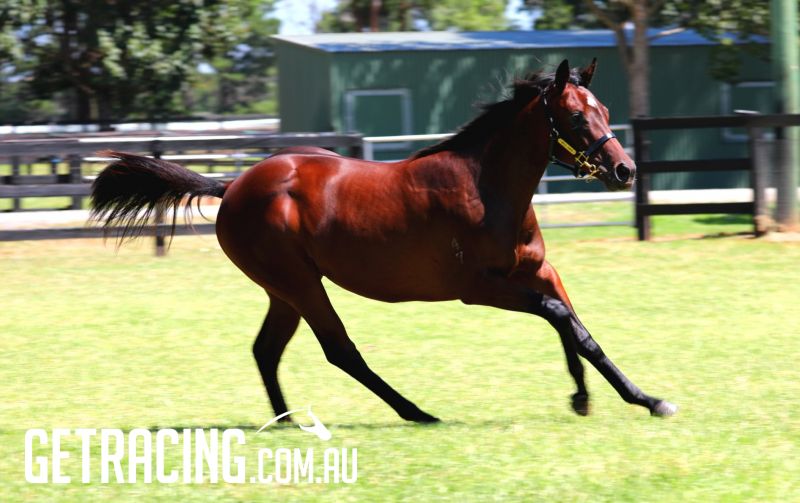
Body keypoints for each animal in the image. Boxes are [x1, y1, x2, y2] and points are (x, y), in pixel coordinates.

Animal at [90, 59, 677, 422]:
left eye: (604, 110)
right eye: (576, 115)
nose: (624, 170)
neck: (485, 185)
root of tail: (233, 185)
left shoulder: (537, 271)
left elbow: (579, 331)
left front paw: (634, 398)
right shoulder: (479, 288)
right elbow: (560, 318)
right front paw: (606, 399)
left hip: (284, 291)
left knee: (266, 350)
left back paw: (286, 421)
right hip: (300, 284)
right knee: (339, 350)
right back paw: (417, 412)